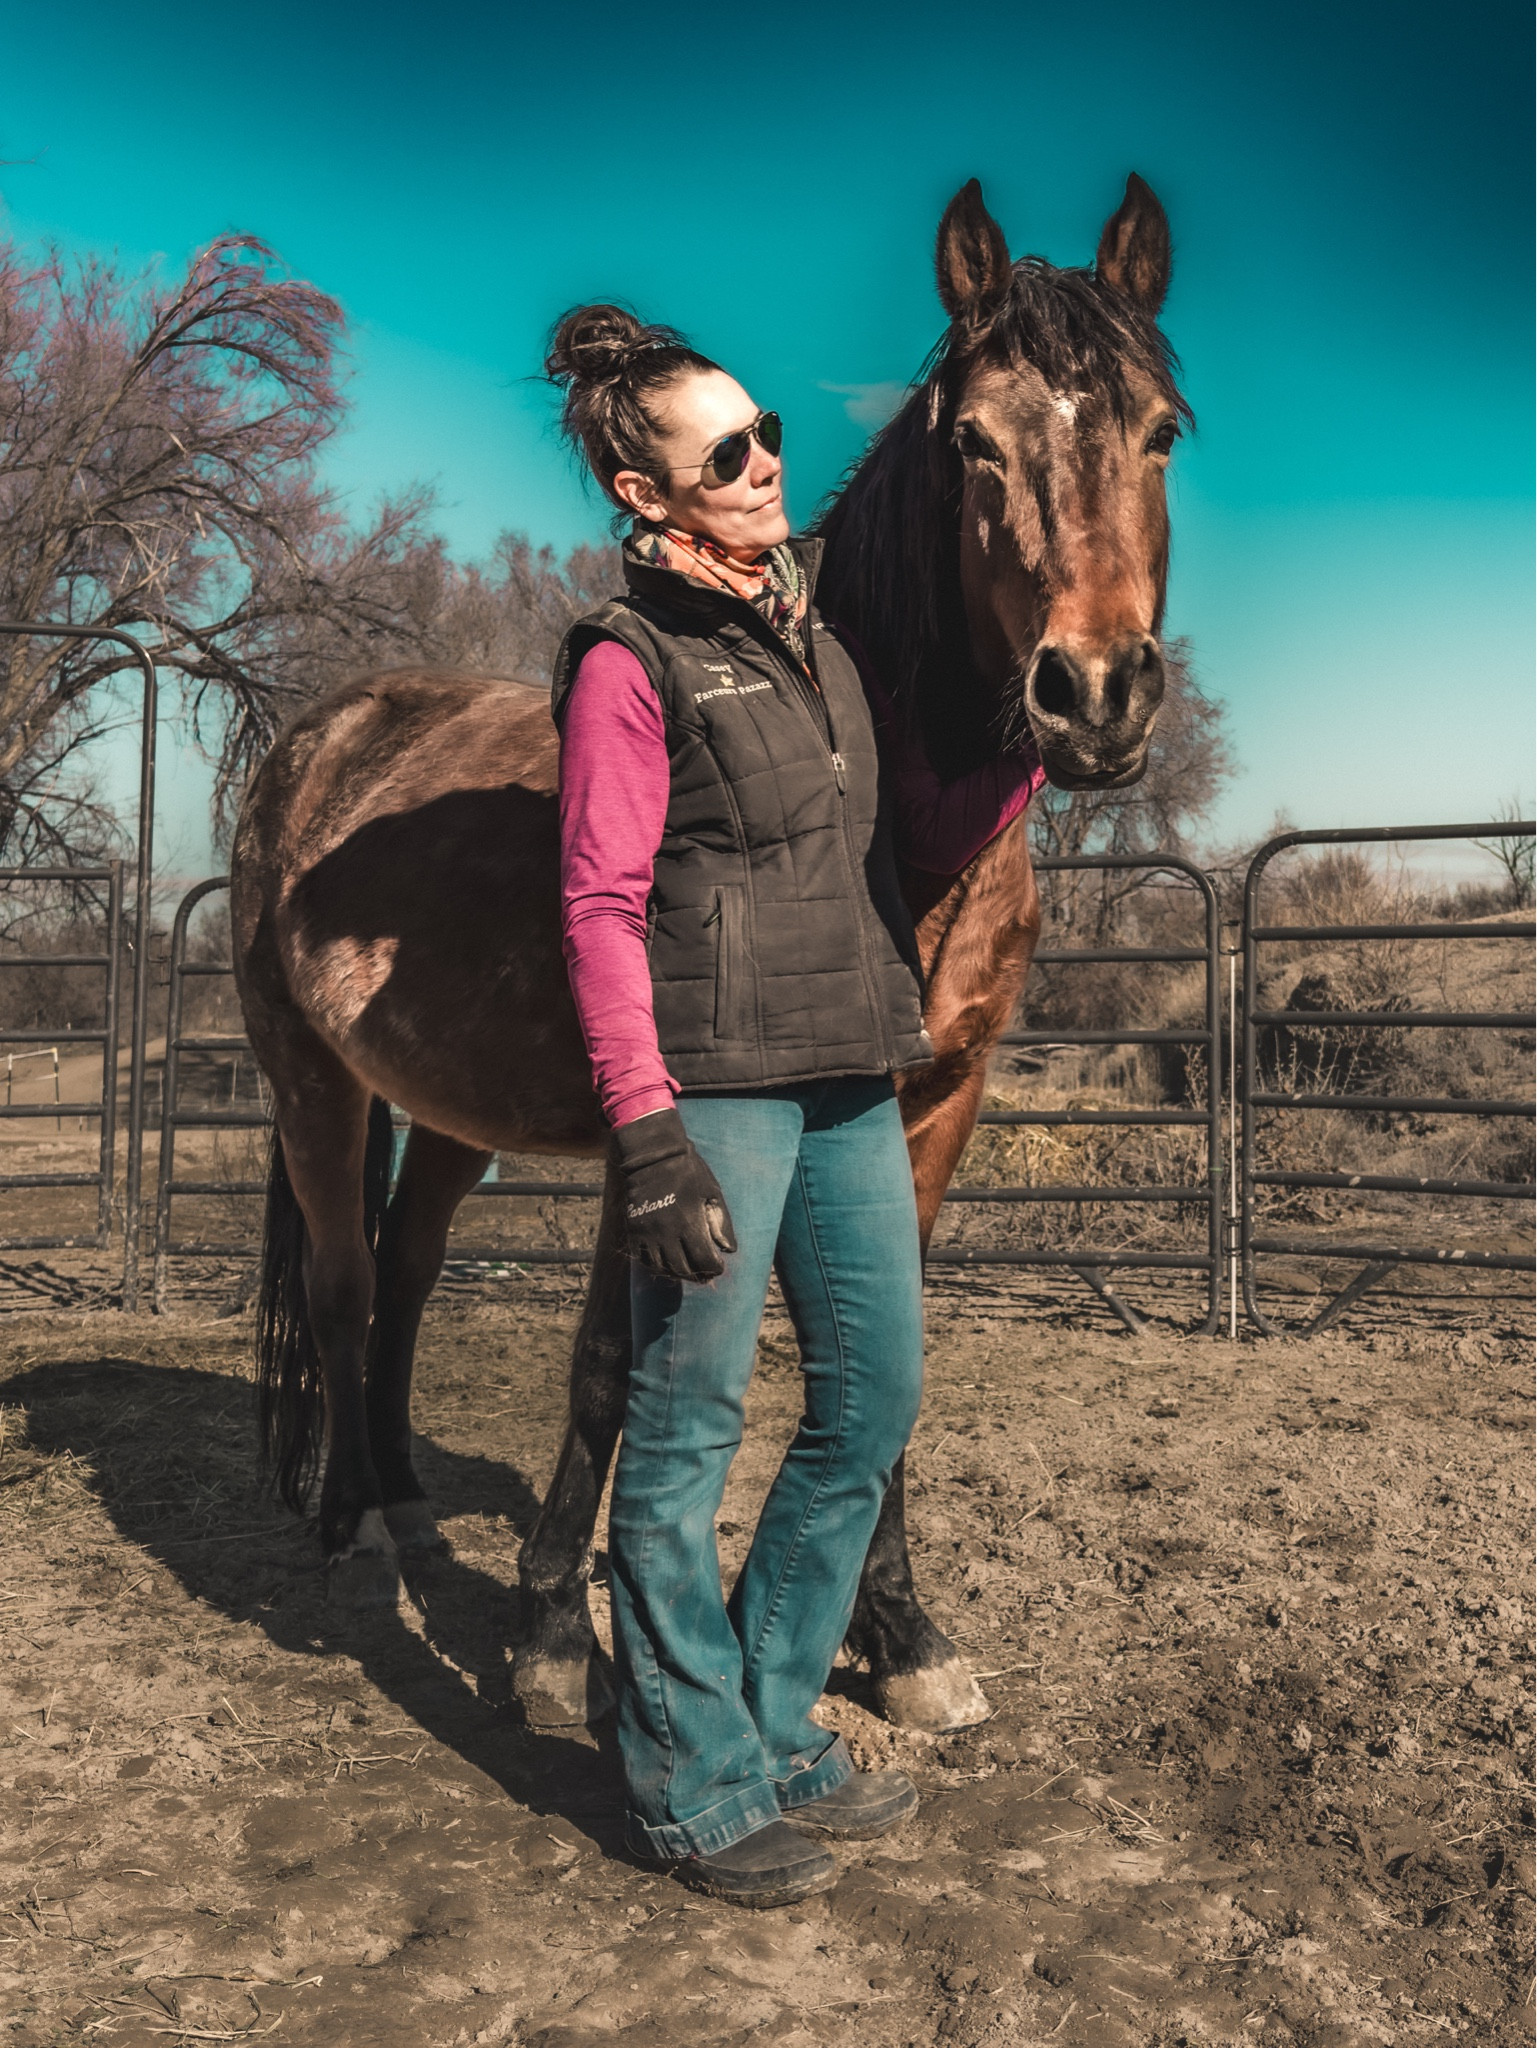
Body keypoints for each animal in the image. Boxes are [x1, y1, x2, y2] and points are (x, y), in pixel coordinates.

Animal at [231, 172, 1189, 1736]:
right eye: (973, 442)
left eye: (1161, 429)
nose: (1093, 693)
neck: (893, 842)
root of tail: (320, 735)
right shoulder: (667, 1139)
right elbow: (606, 1367)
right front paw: (553, 1637)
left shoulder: (935, 1110)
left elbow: (888, 1361)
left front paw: (903, 1639)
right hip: (311, 1081)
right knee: (344, 1281)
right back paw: (357, 1519)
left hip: (447, 1112)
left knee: (410, 1268)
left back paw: (412, 1504)